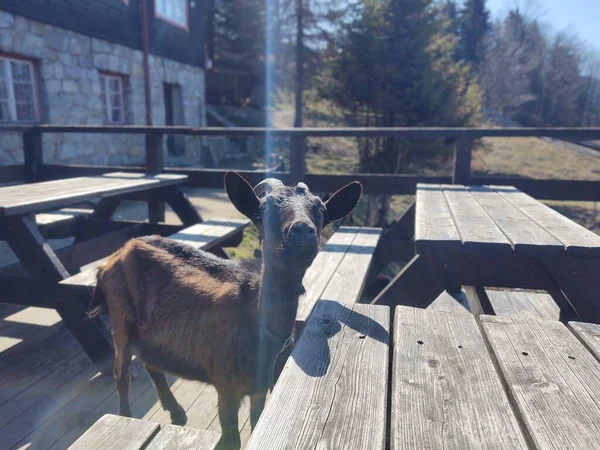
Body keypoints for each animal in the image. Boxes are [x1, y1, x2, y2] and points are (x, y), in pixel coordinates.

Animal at [89, 171, 360, 448]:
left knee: (150, 362)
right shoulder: (226, 387)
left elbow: (256, 421)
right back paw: (126, 415)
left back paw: (176, 411)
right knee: (121, 372)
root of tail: (115, 256)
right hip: (120, 319)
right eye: (263, 209)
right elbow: (232, 437)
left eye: (321, 209)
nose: (303, 231)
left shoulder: (258, 389)